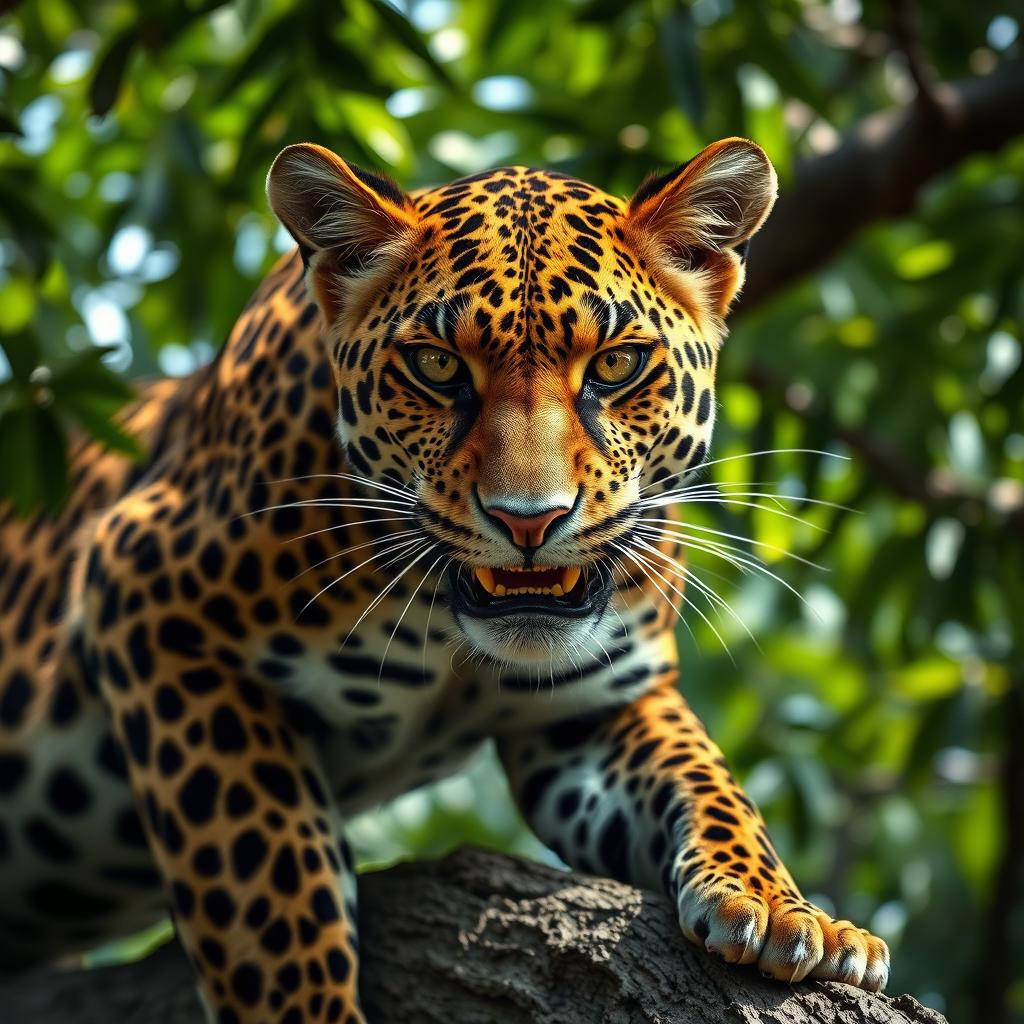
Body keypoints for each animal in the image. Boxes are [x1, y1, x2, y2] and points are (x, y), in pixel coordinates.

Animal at [0, 137, 889, 1023]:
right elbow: (270, 893)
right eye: (435, 365)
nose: (529, 521)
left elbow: (714, 785)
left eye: (617, 364)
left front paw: (783, 911)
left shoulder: (595, 708)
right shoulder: (149, 600)